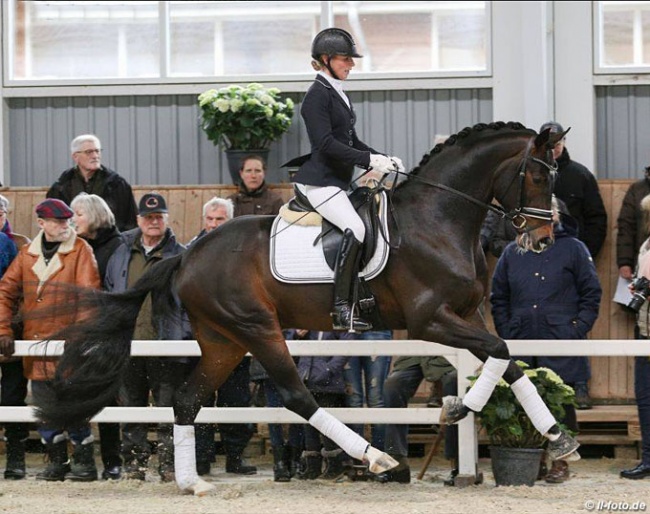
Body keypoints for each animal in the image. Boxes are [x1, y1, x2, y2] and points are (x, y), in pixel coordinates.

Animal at [36, 120, 572, 492]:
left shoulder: (467, 315)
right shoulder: (431, 320)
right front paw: (459, 408)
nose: (543, 239)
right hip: (257, 328)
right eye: (537, 175)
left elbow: (507, 360)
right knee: (297, 397)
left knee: (187, 400)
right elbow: (500, 353)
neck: (437, 219)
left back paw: (193, 483)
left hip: (223, 339)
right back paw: (379, 460)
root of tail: (188, 253)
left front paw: (554, 435)